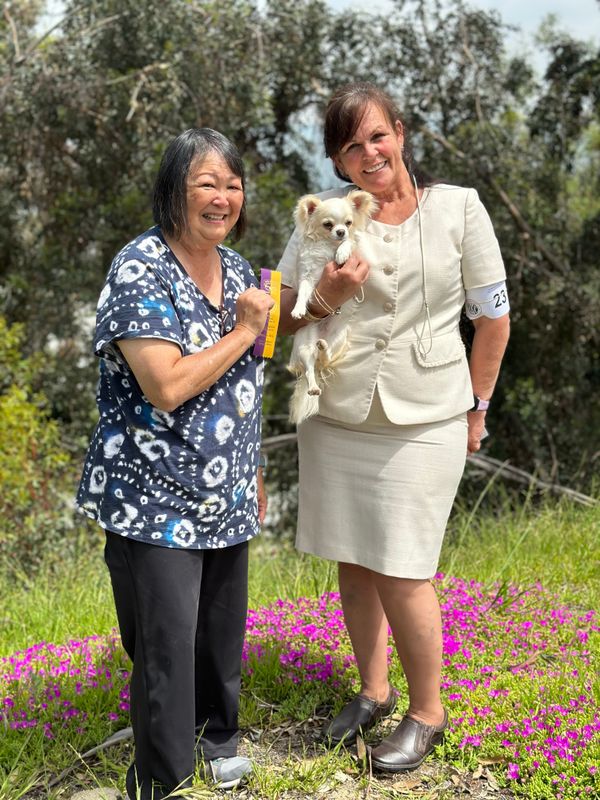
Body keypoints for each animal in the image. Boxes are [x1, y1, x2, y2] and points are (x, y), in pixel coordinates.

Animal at [286, 189, 376, 424]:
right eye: (328, 225)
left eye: (348, 223)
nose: (341, 231)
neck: (327, 246)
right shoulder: (308, 276)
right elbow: (304, 293)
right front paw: (298, 309)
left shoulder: (355, 250)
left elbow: (349, 245)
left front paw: (342, 252)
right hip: (304, 346)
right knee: (310, 369)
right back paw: (314, 385)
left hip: (338, 338)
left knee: (326, 358)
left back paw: (323, 348)